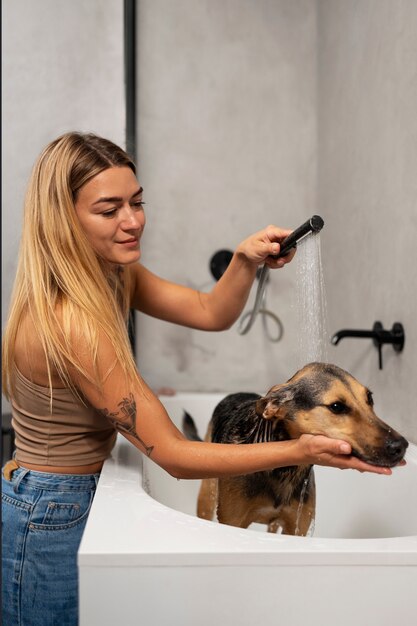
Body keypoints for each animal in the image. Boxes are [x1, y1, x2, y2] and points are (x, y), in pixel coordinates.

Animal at [181, 364, 406, 532]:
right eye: (336, 407)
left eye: (370, 399)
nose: (401, 446)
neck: (282, 471)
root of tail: (235, 393)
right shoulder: (233, 521)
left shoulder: (297, 525)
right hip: (207, 496)